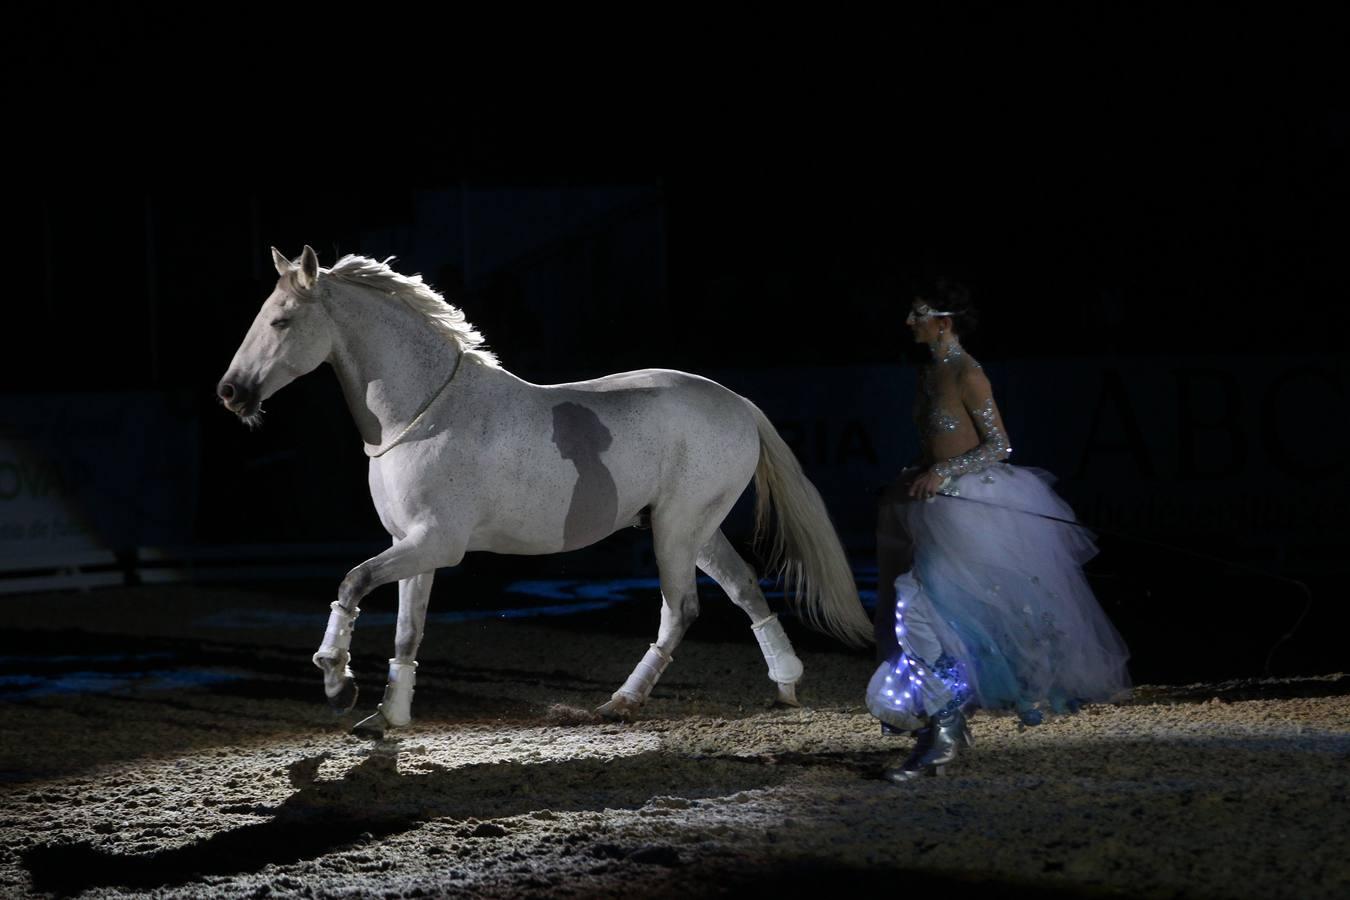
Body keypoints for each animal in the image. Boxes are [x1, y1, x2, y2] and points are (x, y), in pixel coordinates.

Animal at [216, 246, 869, 739]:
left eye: (281, 321)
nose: (230, 392)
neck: (424, 412)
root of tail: (738, 404)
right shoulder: (412, 547)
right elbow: (408, 628)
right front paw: (388, 717)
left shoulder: (436, 543)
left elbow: (352, 582)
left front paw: (337, 682)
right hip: (694, 530)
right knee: (745, 588)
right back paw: (786, 684)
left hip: (677, 530)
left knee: (680, 608)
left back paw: (622, 703)